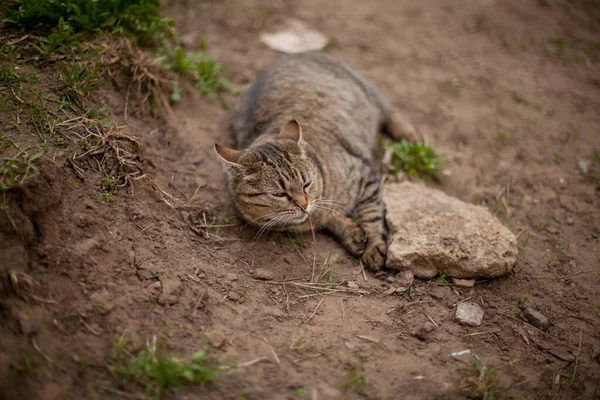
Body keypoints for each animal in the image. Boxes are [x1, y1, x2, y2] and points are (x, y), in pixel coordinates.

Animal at [216, 50, 418, 268]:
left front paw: (374, 246)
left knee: (389, 111)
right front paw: (349, 231)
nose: (303, 204)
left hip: (368, 93)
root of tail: (296, 54)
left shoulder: (365, 175)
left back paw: (410, 135)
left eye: (306, 184)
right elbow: (327, 216)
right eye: (279, 194)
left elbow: (370, 214)